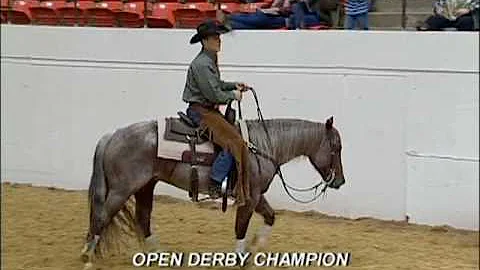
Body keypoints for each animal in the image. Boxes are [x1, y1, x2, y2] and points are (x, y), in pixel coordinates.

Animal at [80, 109, 346, 268]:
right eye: (336, 148)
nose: (340, 181)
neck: (261, 147)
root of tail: (112, 135)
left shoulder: (258, 196)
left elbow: (270, 217)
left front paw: (254, 248)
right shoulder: (249, 198)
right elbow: (240, 228)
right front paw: (240, 256)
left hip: (145, 186)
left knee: (142, 219)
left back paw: (159, 256)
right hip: (122, 189)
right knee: (102, 217)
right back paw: (87, 257)